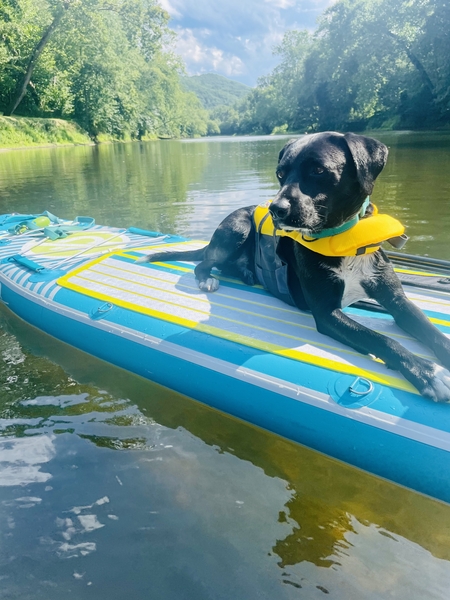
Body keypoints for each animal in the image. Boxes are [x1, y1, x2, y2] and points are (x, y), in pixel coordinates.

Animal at [139, 132, 450, 404]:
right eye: (280, 173)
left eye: (318, 170)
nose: (275, 209)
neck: (344, 240)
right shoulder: (326, 313)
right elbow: (380, 339)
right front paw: (428, 373)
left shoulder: (396, 300)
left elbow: (430, 330)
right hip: (237, 226)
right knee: (202, 263)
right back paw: (208, 280)